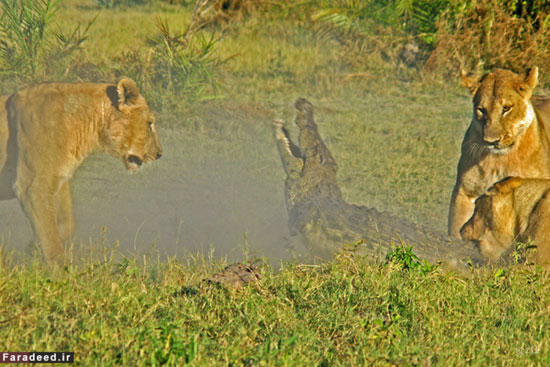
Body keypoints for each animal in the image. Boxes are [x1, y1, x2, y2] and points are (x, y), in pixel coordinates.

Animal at [0, 80, 163, 264]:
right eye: (149, 124)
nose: (159, 154)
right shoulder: (32, 186)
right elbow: (50, 237)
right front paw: (60, 269)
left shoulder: (60, 180)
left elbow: (66, 224)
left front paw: (33, 247)